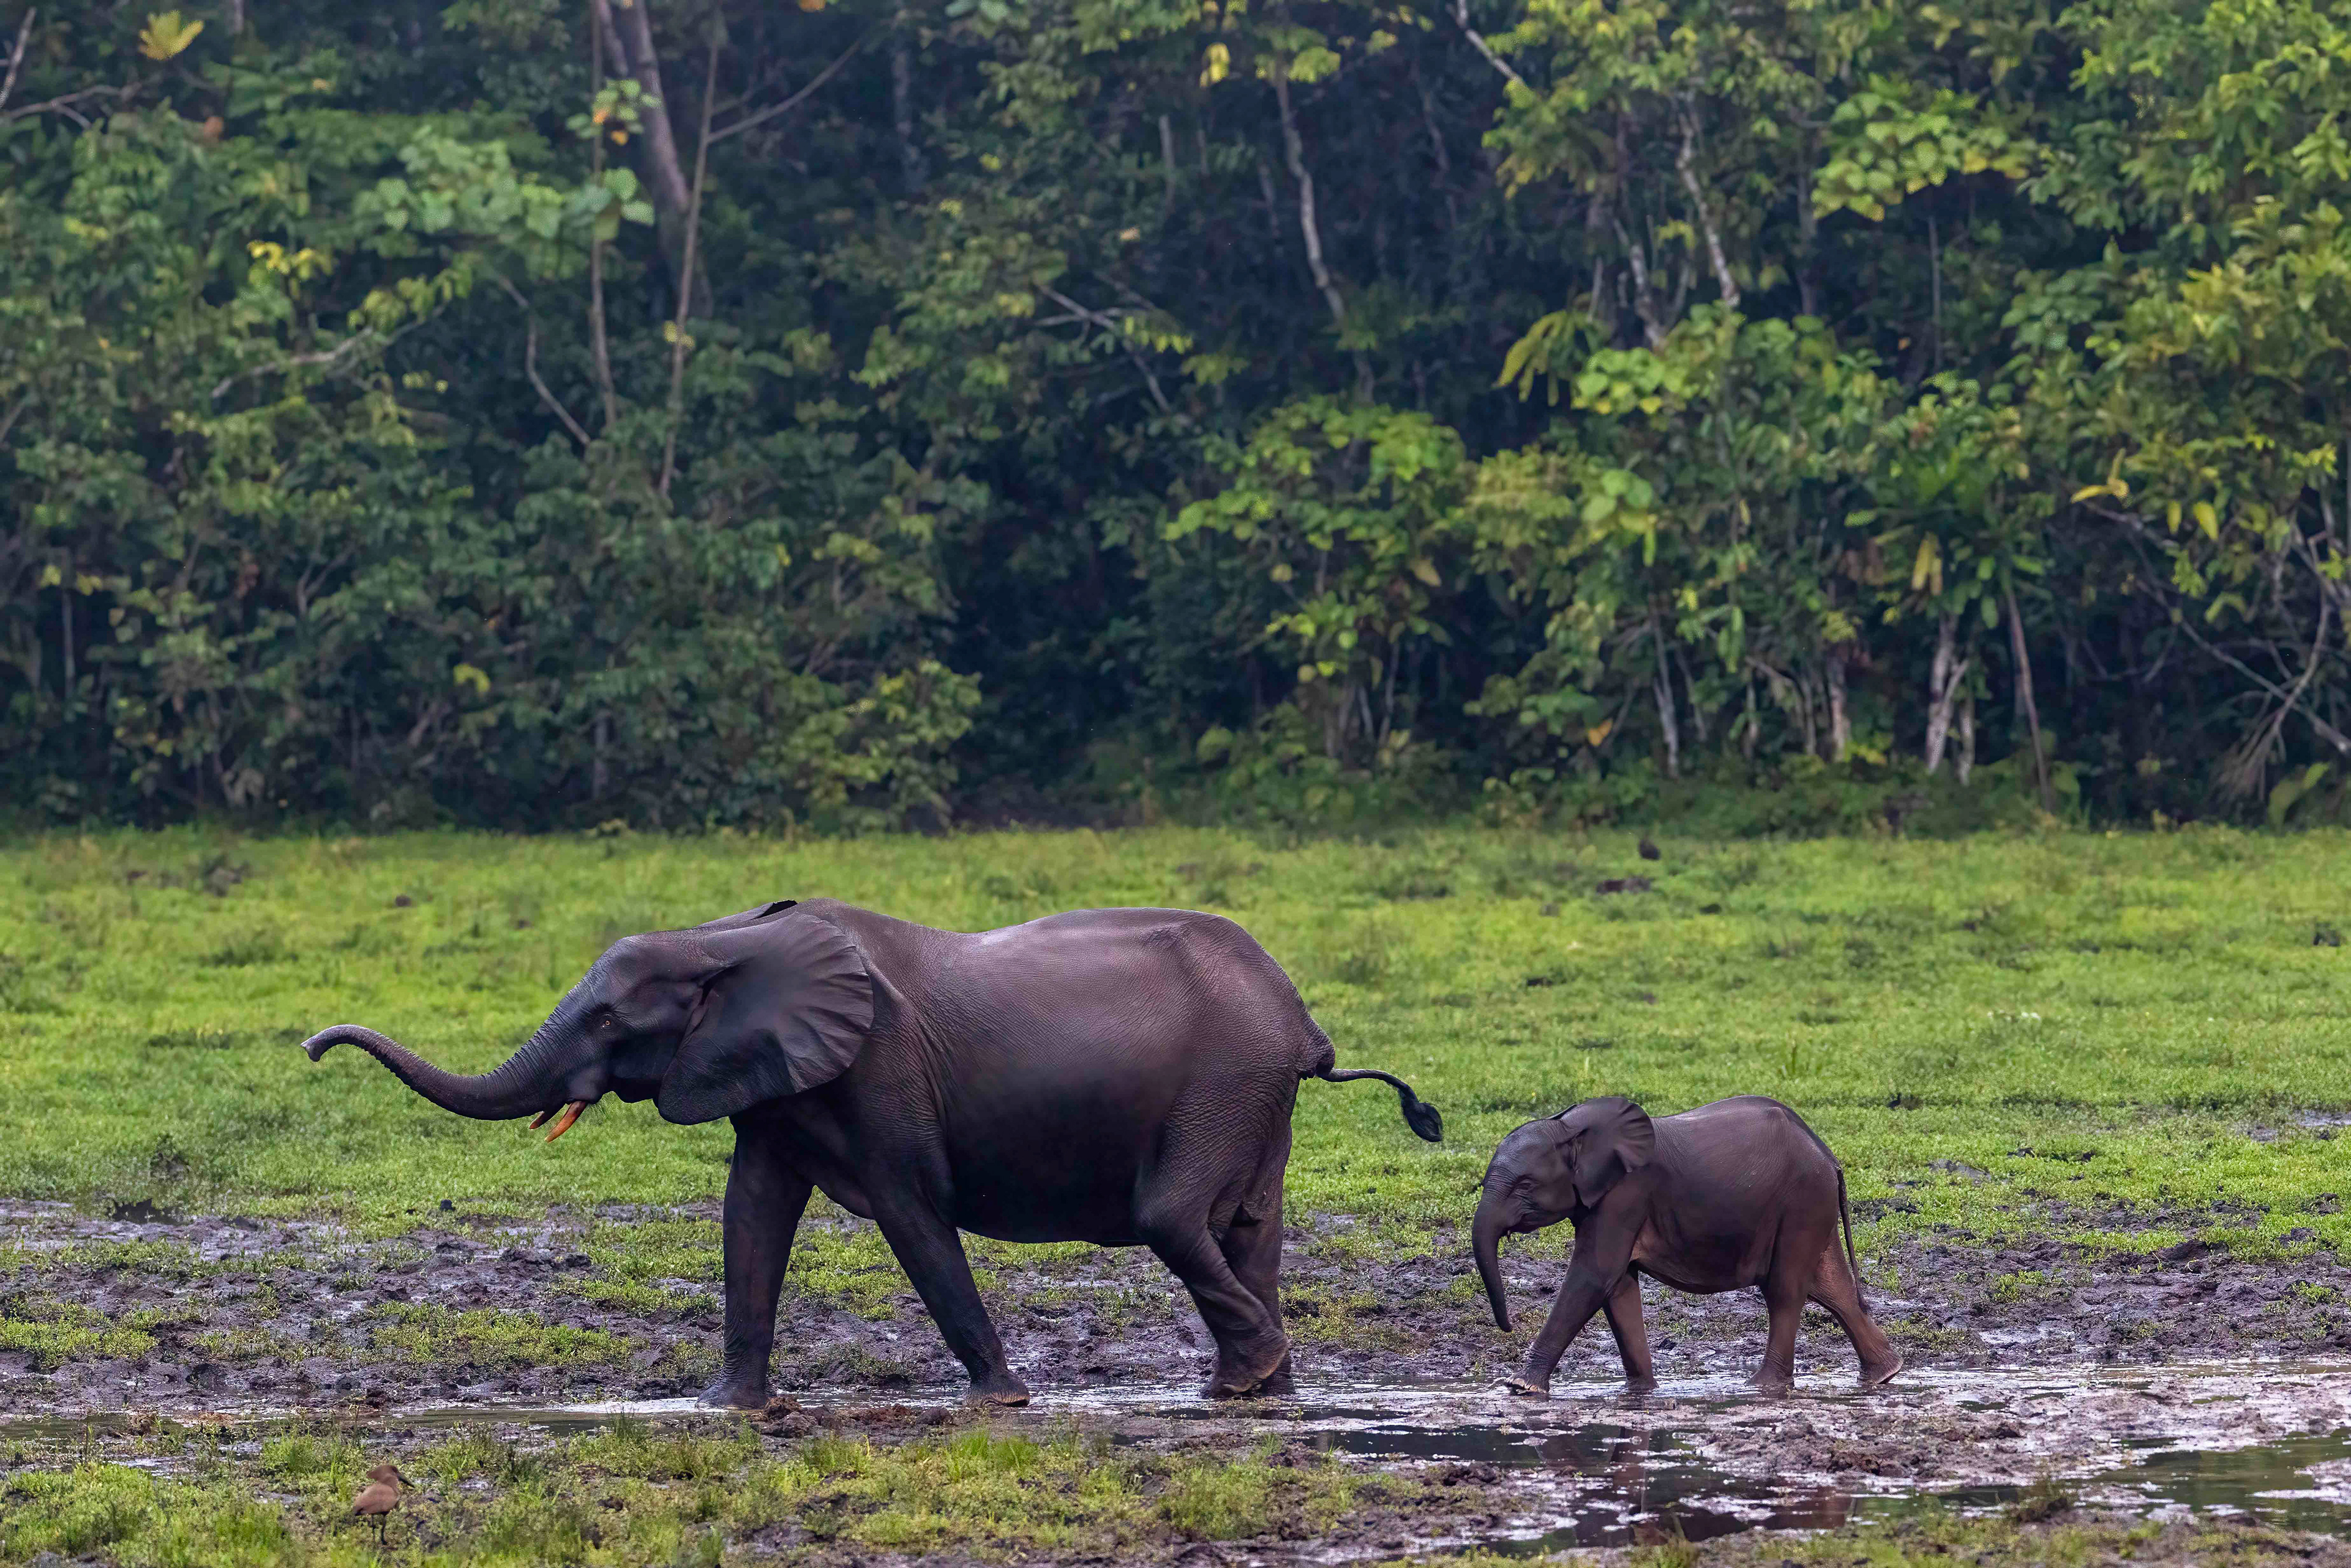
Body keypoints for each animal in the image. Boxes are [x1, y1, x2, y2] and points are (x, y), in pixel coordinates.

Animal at [301, 898, 1441, 1407]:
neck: (724, 941)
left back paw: (1249, 1381)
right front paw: (727, 1411)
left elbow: (911, 1213)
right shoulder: (771, 1082)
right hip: (1250, 1098)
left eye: (609, 1021)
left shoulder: (879, 1071)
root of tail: (1305, 1026)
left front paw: (1001, 1403)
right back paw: (1258, 1390)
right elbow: (751, 1215)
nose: (314, 1046)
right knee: (1247, 1231)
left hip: (1224, 1087)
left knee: (1177, 1220)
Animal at [1470, 1094, 1900, 1395]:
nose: (1508, 1327)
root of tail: (1829, 1155)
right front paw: (1640, 1391)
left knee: (1785, 1290)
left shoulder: (1627, 1193)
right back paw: (1883, 1375)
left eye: (1525, 1185)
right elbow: (1617, 1288)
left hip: (1801, 1200)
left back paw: (1760, 1387)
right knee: (1832, 1288)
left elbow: (1595, 1275)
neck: (1569, 1128)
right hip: (1812, 1204)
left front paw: (1520, 1388)